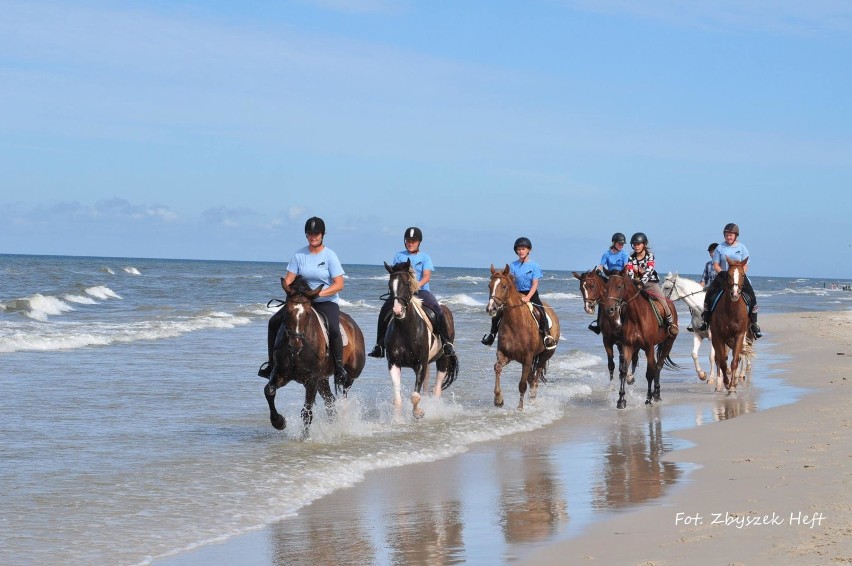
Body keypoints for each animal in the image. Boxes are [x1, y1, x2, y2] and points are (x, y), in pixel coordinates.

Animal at [262, 278, 364, 432]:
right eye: (287, 312)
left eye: (308, 314)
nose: (295, 343)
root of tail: (354, 326)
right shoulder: (281, 372)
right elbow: (269, 391)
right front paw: (279, 422)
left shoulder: (312, 378)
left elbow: (307, 412)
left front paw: (305, 436)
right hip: (322, 379)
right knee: (330, 402)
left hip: (350, 374)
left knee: (343, 393)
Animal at [382, 260, 456, 418]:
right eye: (390, 285)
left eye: (407, 283)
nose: (397, 311)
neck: (405, 330)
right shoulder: (394, 364)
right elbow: (398, 400)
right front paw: (398, 420)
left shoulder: (420, 364)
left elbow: (415, 396)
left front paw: (419, 413)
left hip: (443, 359)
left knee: (437, 389)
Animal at [486, 266, 560, 412]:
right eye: (489, 286)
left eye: (504, 286)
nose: (491, 308)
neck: (515, 323)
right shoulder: (505, 355)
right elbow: (497, 368)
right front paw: (498, 399)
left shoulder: (527, 359)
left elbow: (522, 384)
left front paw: (520, 408)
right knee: (531, 378)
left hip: (545, 355)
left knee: (536, 377)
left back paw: (532, 397)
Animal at [604, 270, 680, 408]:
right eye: (606, 287)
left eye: (619, 286)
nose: (609, 309)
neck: (637, 316)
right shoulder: (628, 346)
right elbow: (623, 371)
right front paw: (621, 400)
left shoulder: (649, 348)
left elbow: (649, 373)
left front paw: (648, 399)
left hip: (668, 343)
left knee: (658, 366)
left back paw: (656, 394)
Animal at [708, 258, 748, 394]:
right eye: (729, 274)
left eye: (743, 275)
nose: (735, 294)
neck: (732, 311)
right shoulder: (718, 337)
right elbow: (722, 362)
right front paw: (725, 383)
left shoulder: (739, 335)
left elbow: (735, 361)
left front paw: (732, 387)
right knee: (720, 359)